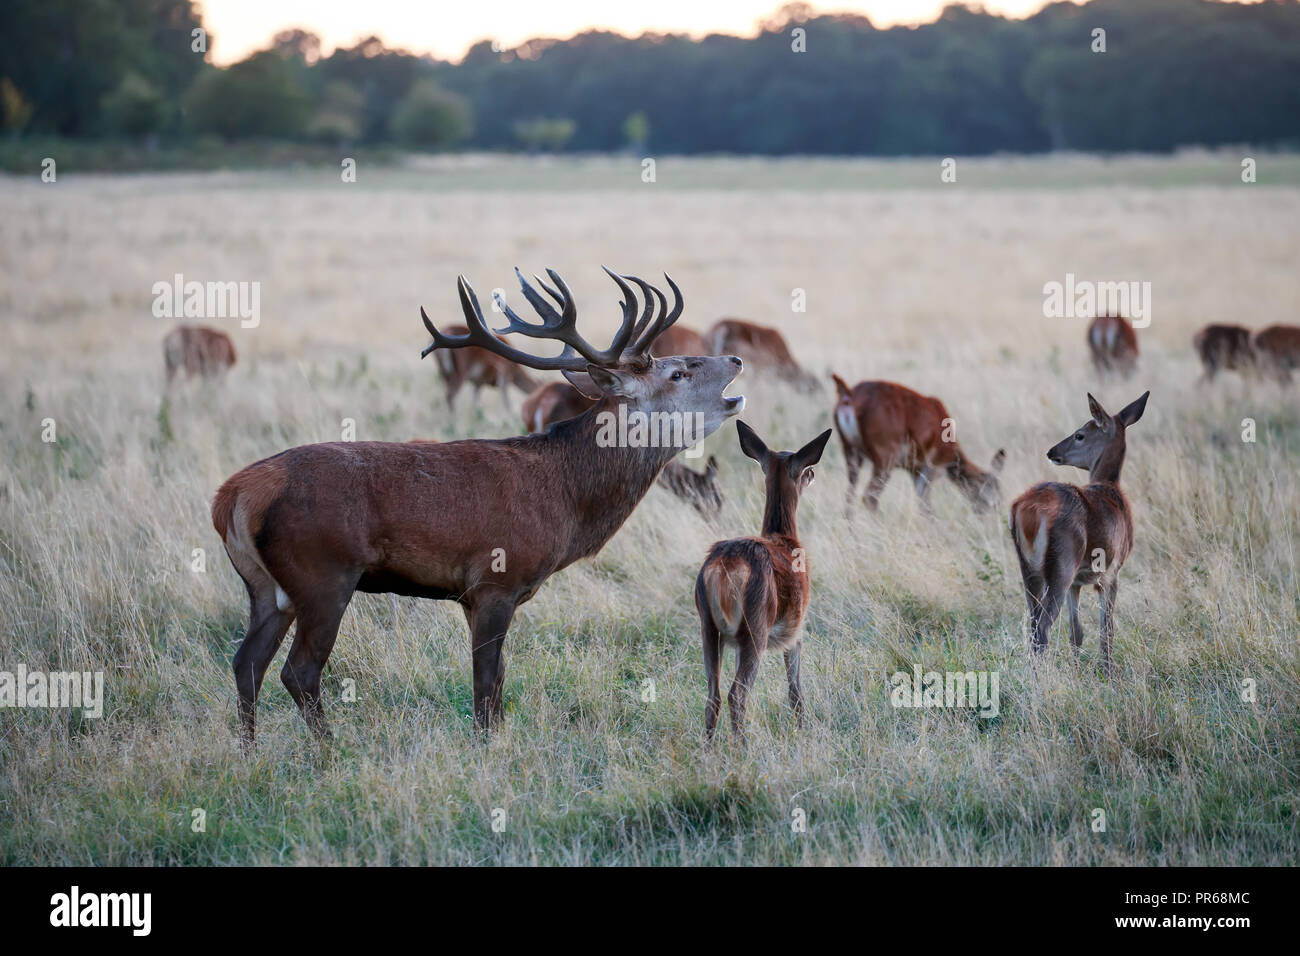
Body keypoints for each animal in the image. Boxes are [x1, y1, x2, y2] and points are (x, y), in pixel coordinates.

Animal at [691, 421, 832, 743]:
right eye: (804, 469)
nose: (813, 474)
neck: (785, 539)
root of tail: (724, 568)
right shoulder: (796, 628)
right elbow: (795, 690)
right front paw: (802, 730)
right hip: (756, 626)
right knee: (736, 695)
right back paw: (742, 749)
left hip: (708, 626)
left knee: (713, 695)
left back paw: (708, 749)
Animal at [832, 377, 1003, 520]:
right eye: (994, 489)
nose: (995, 513)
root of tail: (849, 397)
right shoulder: (932, 467)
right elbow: (926, 507)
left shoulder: (914, 469)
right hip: (885, 456)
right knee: (869, 497)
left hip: (850, 450)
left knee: (850, 493)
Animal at [1008, 392, 1154, 676]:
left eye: (1079, 435)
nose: (1052, 452)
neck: (1110, 488)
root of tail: (1027, 509)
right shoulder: (1111, 572)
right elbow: (1106, 629)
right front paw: (1108, 673)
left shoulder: (1077, 582)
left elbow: (1076, 632)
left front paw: (1078, 672)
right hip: (1062, 563)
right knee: (1042, 627)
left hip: (1029, 568)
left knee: (1033, 623)